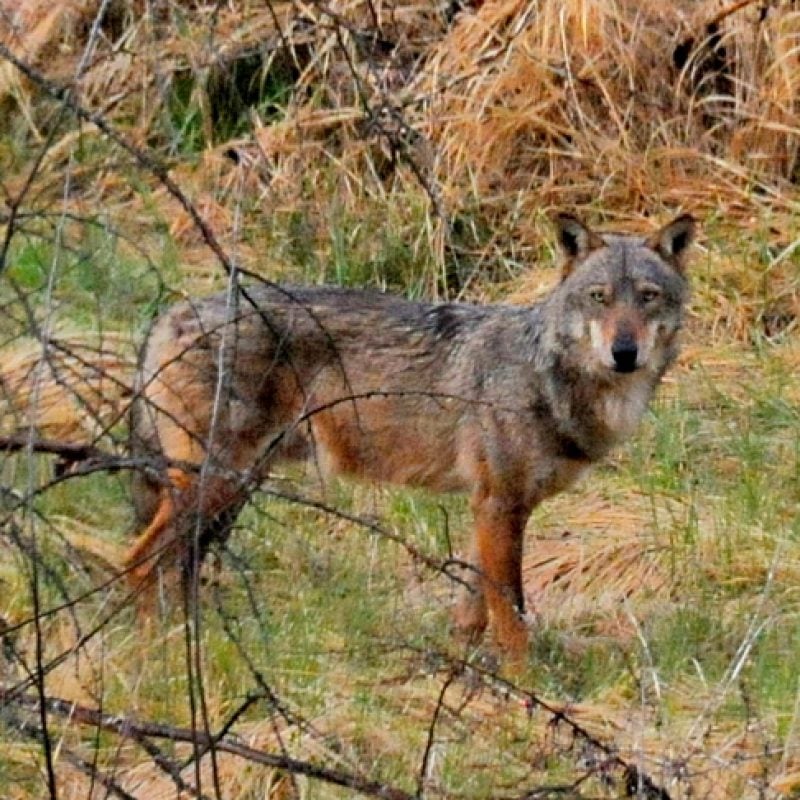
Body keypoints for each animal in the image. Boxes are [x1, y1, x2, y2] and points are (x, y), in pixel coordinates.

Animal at [123, 211, 692, 656]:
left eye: (648, 298)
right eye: (599, 297)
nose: (624, 353)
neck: (544, 372)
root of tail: (170, 313)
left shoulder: (490, 507)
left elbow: (473, 611)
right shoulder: (500, 505)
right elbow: (511, 613)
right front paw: (528, 689)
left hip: (234, 490)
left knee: (179, 565)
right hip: (215, 483)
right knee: (140, 560)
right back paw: (158, 655)